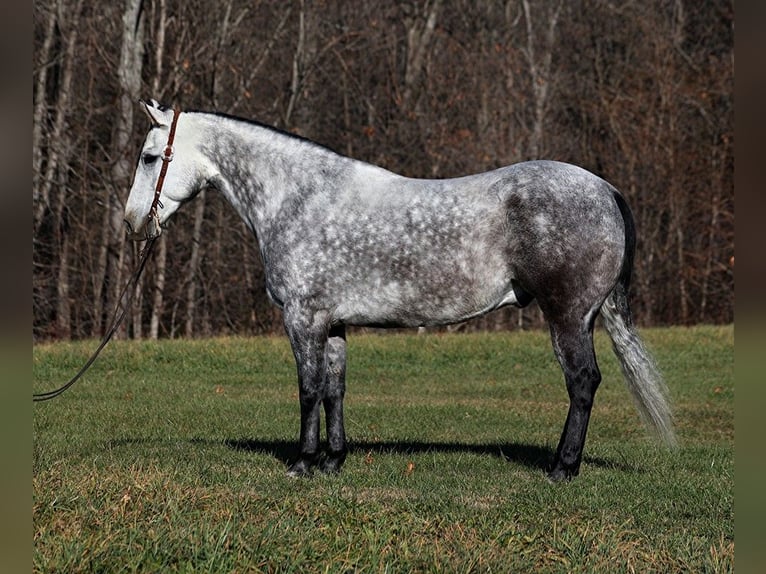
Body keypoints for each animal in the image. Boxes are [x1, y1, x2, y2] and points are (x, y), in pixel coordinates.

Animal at [123, 100, 676, 482]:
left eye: (150, 157)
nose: (132, 222)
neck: (298, 199)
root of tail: (605, 189)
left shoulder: (302, 318)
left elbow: (307, 389)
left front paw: (302, 464)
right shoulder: (333, 323)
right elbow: (334, 389)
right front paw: (333, 461)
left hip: (568, 317)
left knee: (582, 383)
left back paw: (562, 468)